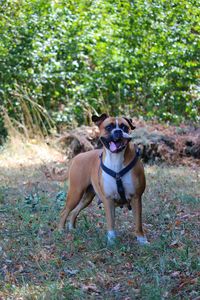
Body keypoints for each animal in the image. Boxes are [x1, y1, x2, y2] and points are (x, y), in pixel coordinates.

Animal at [57, 113, 148, 245]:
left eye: (124, 127)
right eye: (109, 127)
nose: (118, 131)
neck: (116, 158)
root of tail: (77, 157)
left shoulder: (136, 198)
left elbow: (138, 222)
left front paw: (141, 239)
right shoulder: (108, 199)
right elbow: (111, 222)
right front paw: (112, 241)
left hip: (87, 197)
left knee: (74, 211)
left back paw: (72, 228)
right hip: (75, 193)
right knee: (64, 211)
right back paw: (60, 230)